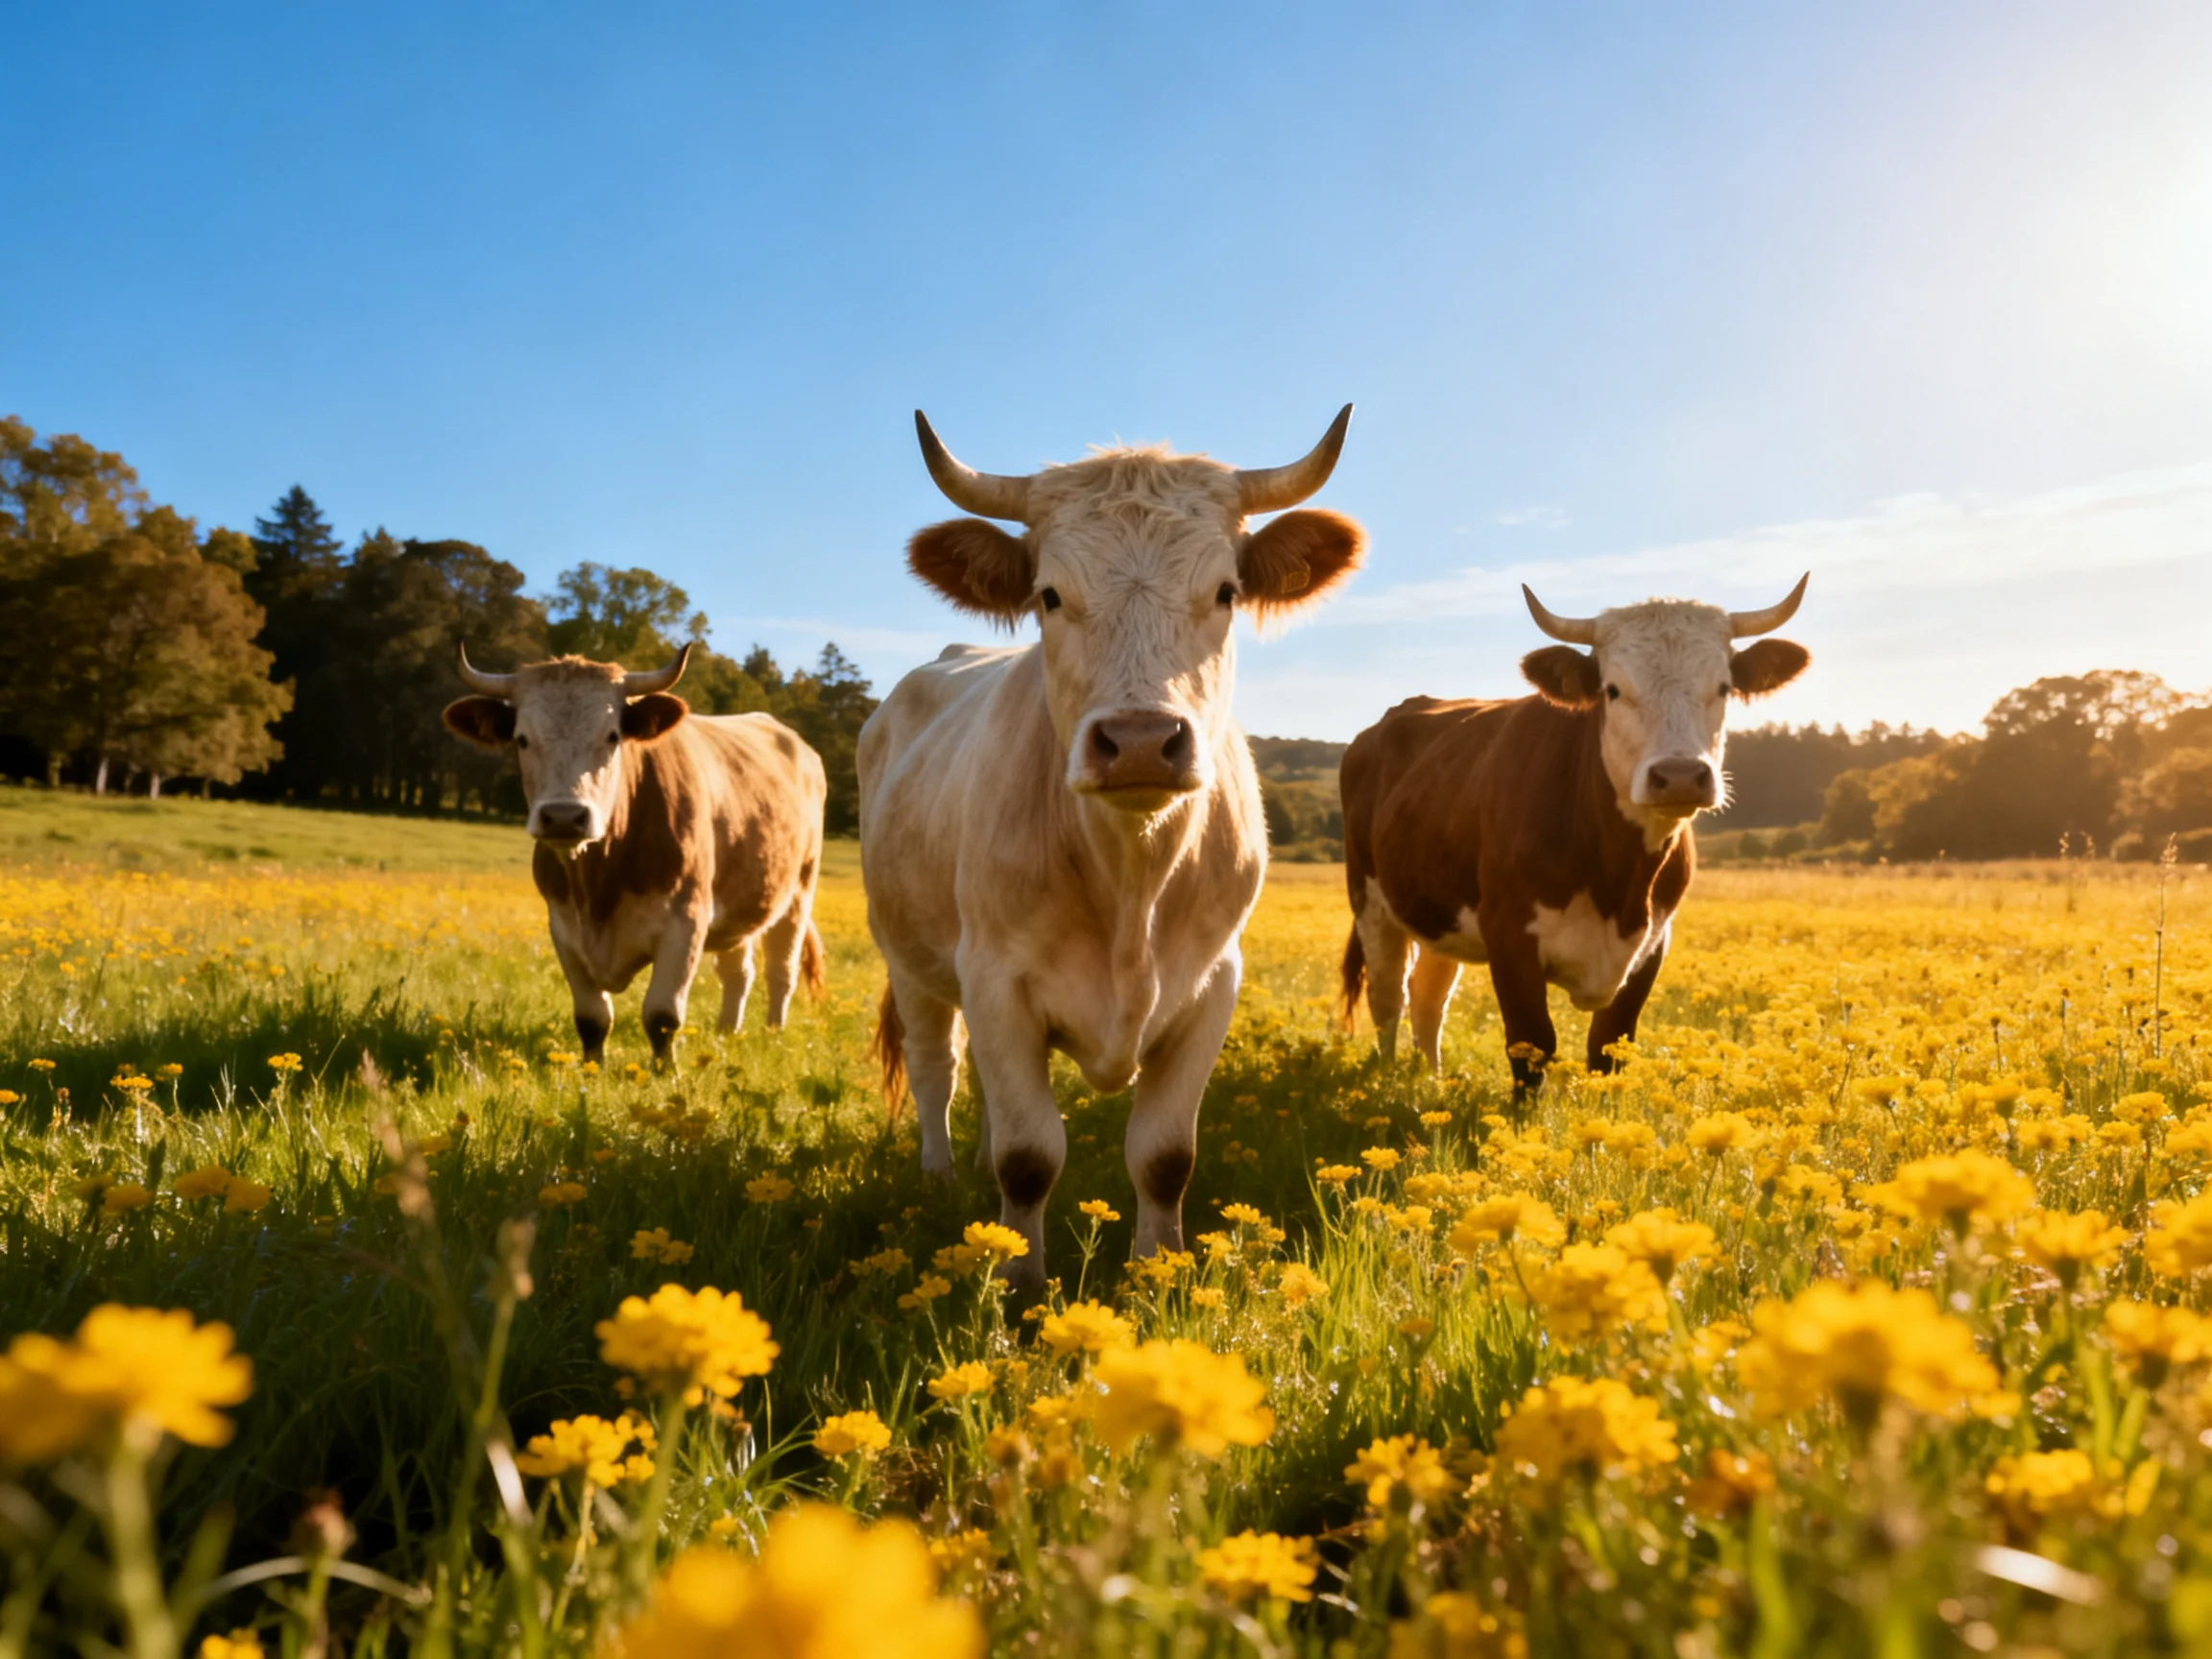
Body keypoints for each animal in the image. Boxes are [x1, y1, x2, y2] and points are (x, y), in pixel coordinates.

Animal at [441, 644, 827, 1066]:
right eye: (522, 739)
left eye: (613, 736)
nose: (564, 816)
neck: (600, 886)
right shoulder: (562, 926)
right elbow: (592, 1018)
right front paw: (591, 1070)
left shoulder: (686, 920)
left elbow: (661, 1015)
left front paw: (665, 1071)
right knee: (737, 972)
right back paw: (727, 1033)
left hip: (798, 893)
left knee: (781, 971)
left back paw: (774, 1033)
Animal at [860, 408, 1367, 1287]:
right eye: (1050, 595)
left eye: (1226, 592)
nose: (1138, 742)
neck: (1132, 876)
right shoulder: (995, 975)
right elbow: (1030, 1156)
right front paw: (1018, 1287)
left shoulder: (1213, 981)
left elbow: (1164, 1156)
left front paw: (1156, 1274)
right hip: (911, 959)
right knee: (936, 1065)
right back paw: (941, 1178)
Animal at [1338, 577, 1810, 1096]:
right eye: (1613, 689)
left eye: (1723, 687)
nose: (1681, 776)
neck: (1619, 883)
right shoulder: (1510, 936)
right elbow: (1531, 1045)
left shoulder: (1653, 943)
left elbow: (1609, 1045)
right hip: (1371, 900)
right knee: (1387, 997)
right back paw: (1387, 1081)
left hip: (1438, 911)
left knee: (1428, 994)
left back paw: (1432, 1081)